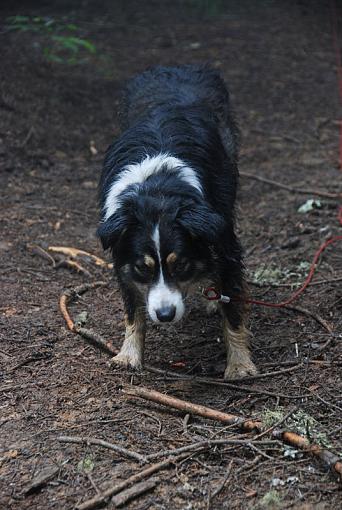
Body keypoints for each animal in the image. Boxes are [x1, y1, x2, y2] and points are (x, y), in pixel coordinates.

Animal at [96, 63, 256, 378]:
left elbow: (233, 312)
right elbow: (132, 311)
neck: (157, 191)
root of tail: (176, 67)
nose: (165, 315)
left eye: (180, 264)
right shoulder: (121, 256)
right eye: (142, 268)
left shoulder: (225, 242)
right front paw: (128, 355)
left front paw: (240, 364)